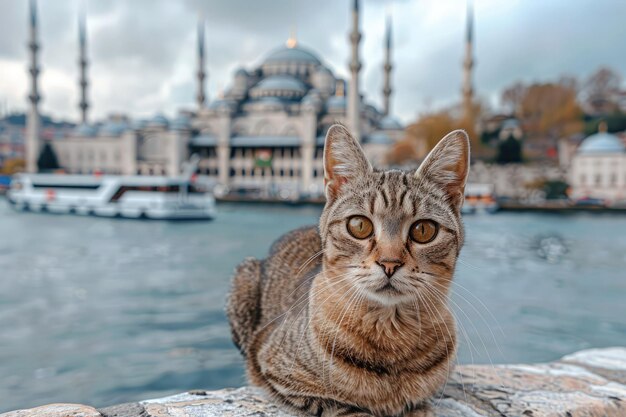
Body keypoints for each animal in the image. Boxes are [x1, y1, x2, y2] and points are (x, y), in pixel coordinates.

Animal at [225, 123, 468, 416]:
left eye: (423, 230)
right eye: (359, 226)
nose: (389, 263)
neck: (389, 329)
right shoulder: (271, 364)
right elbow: (339, 405)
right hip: (243, 279)